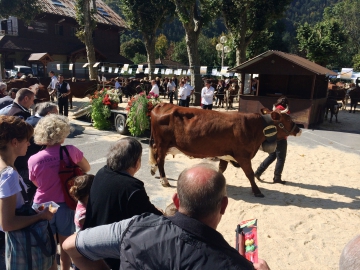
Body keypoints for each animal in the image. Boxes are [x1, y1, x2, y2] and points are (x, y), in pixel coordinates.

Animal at [149, 102, 300, 197]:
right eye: (287, 119)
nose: (299, 129)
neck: (254, 127)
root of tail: (162, 104)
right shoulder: (243, 156)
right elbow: (250, 174)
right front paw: (257, 191)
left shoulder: (225, 155)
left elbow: (221, 169)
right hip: (162, 143)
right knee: (160, 160)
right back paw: (164, 180)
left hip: (162, 144)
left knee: (156, 155)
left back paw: (153, 170)